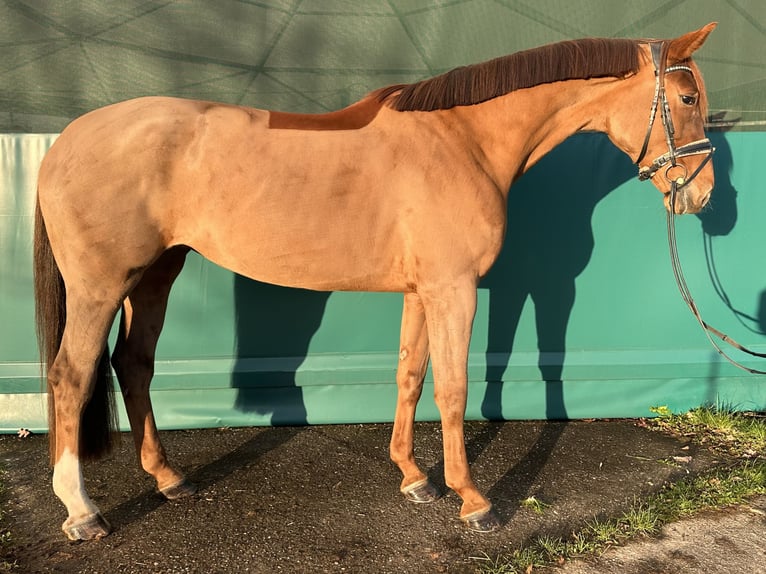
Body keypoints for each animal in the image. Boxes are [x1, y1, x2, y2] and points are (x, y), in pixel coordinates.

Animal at [33, 24, 716, 544]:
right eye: (686, 98)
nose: (702, 195)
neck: (463, 140)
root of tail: (65, 140)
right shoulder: (456, 289)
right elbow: (455, 388)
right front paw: (473, 498)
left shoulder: (423, 290)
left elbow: (411, 374)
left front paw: (414, 478)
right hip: (101, 287)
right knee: (71, 374)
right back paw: (81, 511)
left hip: (155, 274)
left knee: (134, 363)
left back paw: (168, 479)